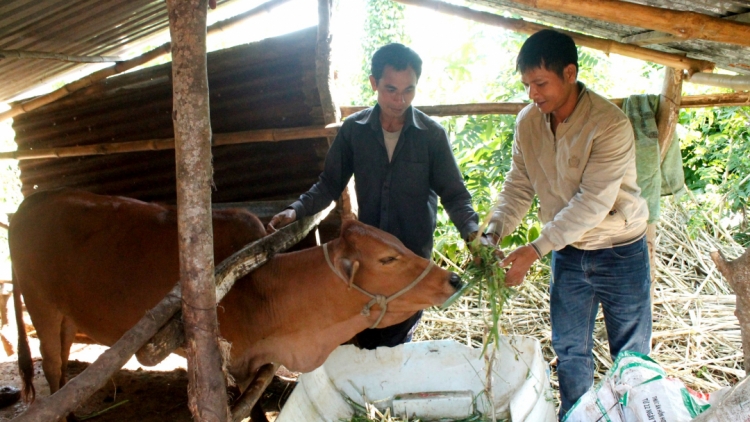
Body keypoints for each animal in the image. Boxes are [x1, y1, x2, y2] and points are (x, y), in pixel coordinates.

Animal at [8, 190, 462, 404]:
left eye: (397, 243)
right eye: (387, 258)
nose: (454, 280)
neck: (261, 287)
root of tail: (27, 204)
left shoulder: (254, 366)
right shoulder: (228, 365)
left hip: (66, 319)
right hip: (43, 310)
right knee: (52, 371)